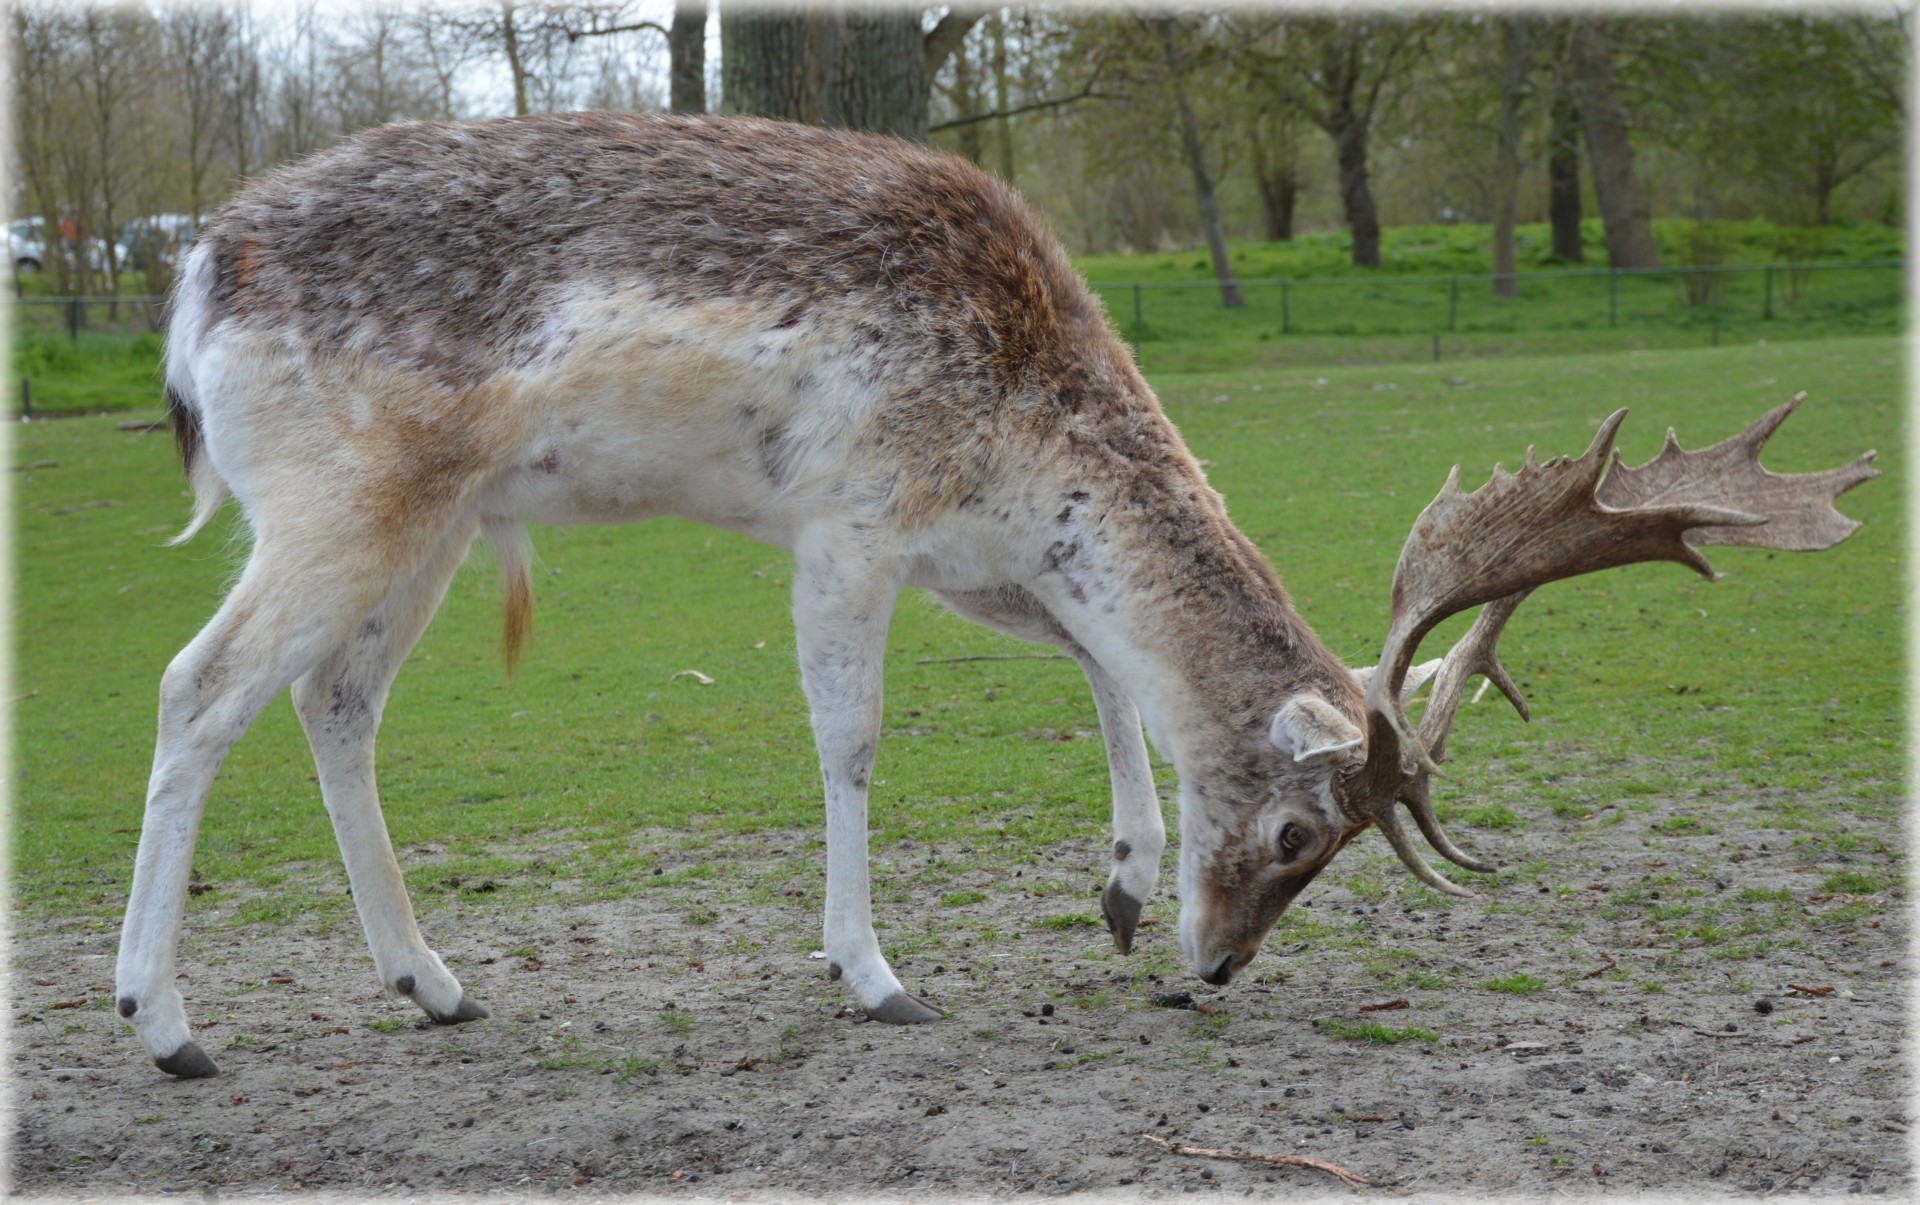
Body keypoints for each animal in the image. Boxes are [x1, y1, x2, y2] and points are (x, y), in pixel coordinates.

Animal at [112, 110, 1866, 1074]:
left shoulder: (986, 559)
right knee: (198, 685)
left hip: (428, 523)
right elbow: (853, 739)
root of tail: (190, 281)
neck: (1027, 433)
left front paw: (1119, 882)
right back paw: (167, 1021)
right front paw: (877, 974)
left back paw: (434, 984)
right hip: (341, 496)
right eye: (1303, 833)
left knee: (334, 700)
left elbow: (1103, 664)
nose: (1214, 971)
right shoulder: (851, 516)